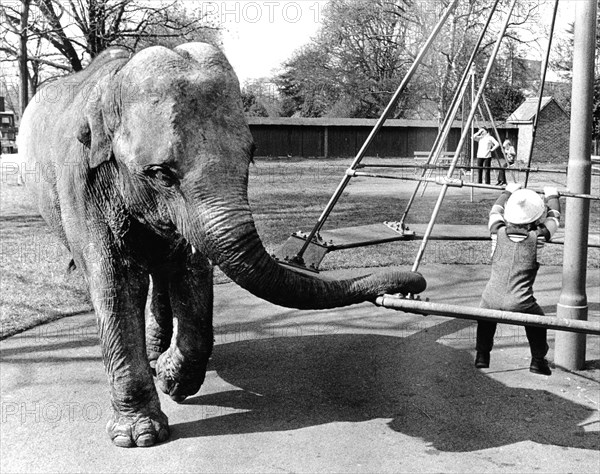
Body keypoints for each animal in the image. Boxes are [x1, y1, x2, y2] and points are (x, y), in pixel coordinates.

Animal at [18, 41, 426, 448]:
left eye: (251, 154)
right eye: (160, 174)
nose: (416, 284)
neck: (113, 84)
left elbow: (193, 271)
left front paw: (171, 380)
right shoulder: (82, 184)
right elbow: (115, 284)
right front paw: (139, 436)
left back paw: (157, 354)